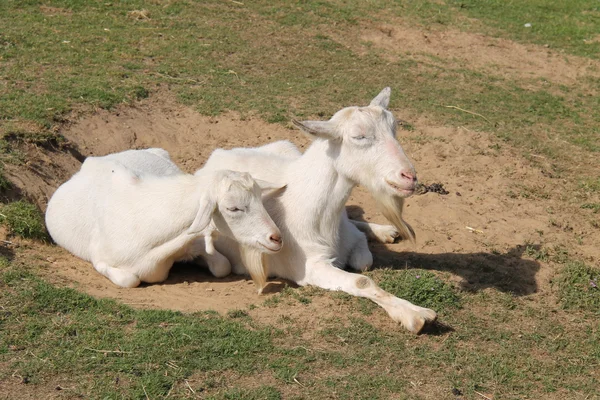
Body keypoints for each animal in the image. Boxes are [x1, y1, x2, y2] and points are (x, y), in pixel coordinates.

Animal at [44, 148, 284, 288]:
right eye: (233, 208)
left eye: (259, 199)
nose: (276, 238)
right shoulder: (101, 258)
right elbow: (129, 280)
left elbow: (223, 266)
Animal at [203, 88, 436, 334]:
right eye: (359, 137)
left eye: (394, 128)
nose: (409, 177)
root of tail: (221, 152)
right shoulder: (309, 266)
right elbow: (361, 280)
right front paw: (414, 313)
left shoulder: (350, 237)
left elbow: (363, 260)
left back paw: (385, 230)